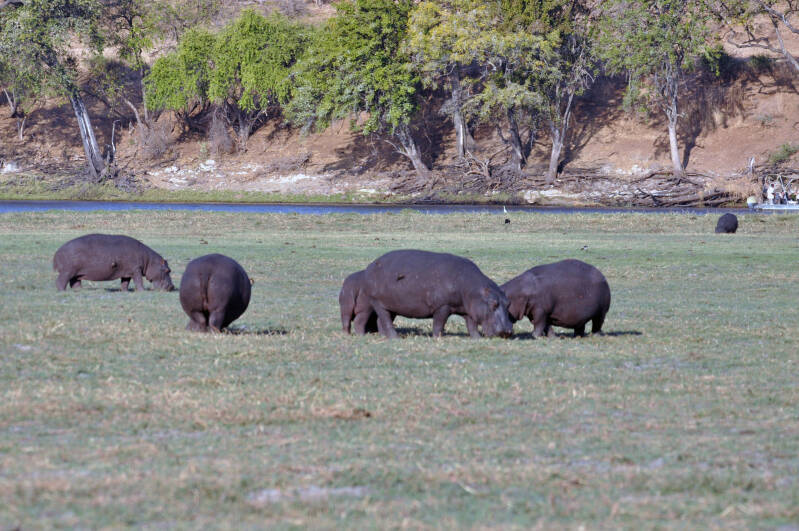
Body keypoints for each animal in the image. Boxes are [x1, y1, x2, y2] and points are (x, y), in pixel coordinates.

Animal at [363, 249, 513, 339]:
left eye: (508, 303)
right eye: (494, 304)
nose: (507, 331)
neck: (473, 289)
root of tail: (370, 266)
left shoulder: (468, 309)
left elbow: (471, 325)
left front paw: (477, 338)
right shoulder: (443, 306)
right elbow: (439, 323)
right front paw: (437, 338)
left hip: (391, 305)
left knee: (381, 320)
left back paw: (385, 337)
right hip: (378, 302)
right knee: (385, 320)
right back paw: (395, 338)